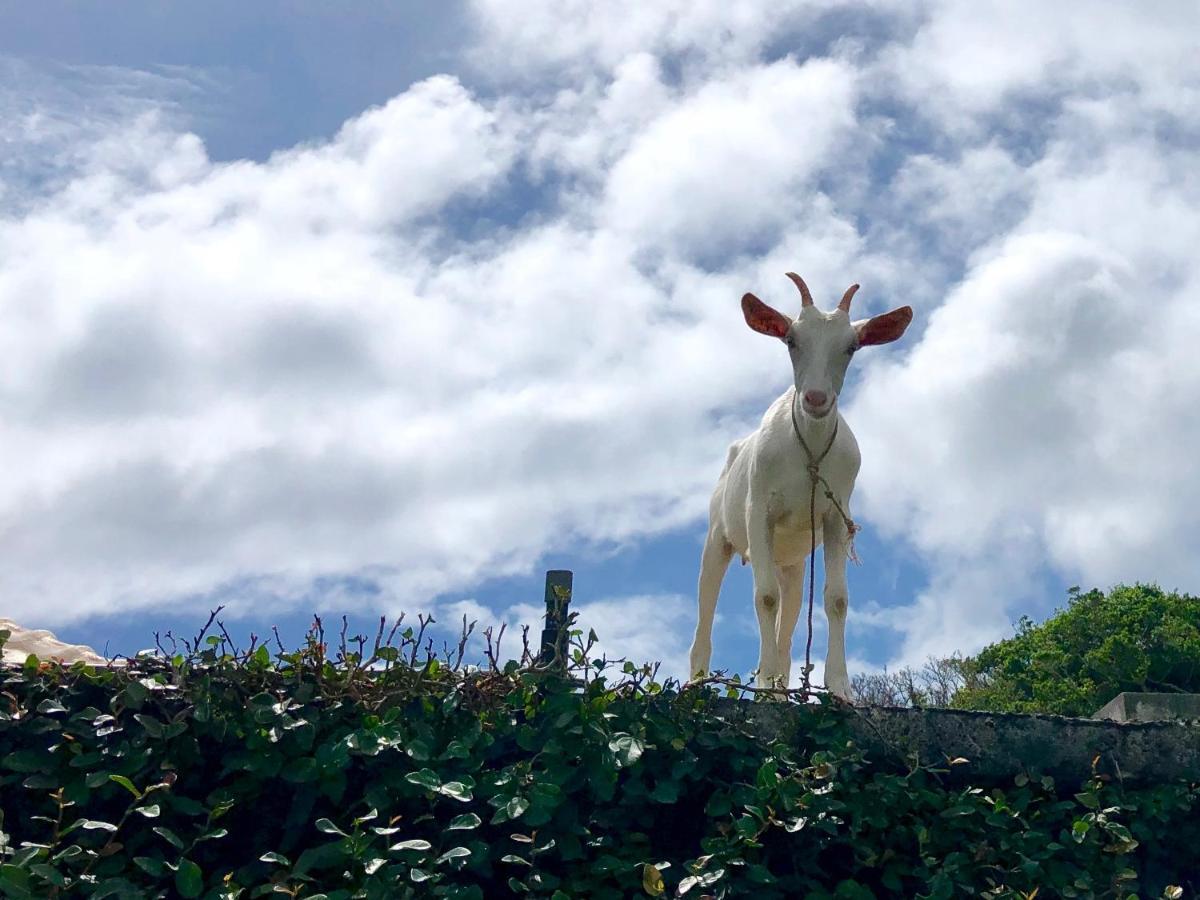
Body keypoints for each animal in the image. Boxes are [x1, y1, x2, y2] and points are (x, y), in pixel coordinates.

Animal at [691, 273, 912, 696]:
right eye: (791, 340)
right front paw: (763, 683)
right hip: (718, 537)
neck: (807, 449)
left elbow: (837, 599)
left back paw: (780, 685)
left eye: (851, 347)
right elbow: (764, 597)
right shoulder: (759, 511)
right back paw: (700, 681)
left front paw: (840, 688)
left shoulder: (836, 515)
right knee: (706, 607)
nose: (815, 398)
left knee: (789, 619)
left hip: (791, 563)